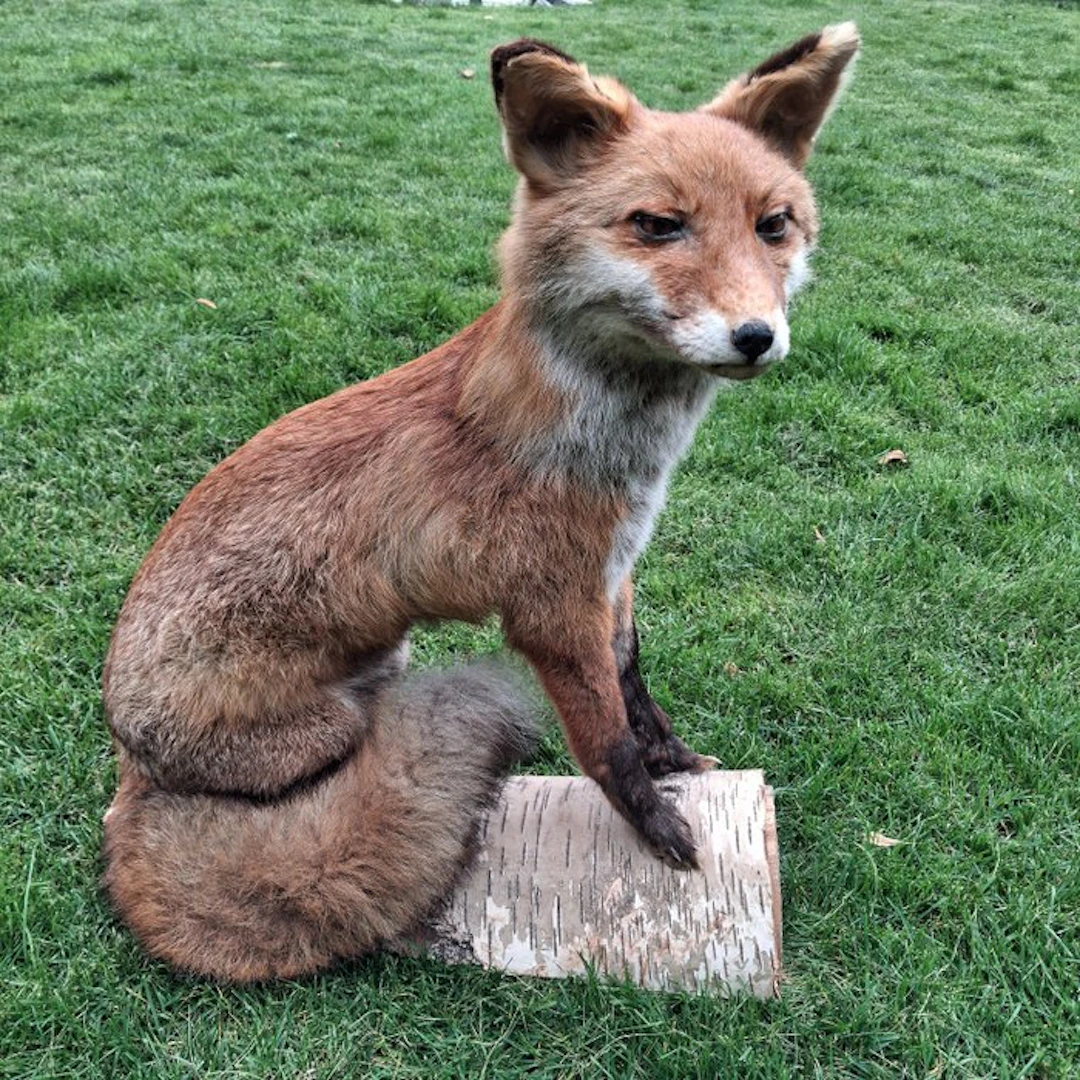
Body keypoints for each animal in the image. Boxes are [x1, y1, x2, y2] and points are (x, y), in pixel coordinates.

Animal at [101, 25, 860, 982]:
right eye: (658, 225)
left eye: (774, 226)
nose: (757, 337)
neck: (621, 452)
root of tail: (128, 757)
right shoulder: (549, 605)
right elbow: (605, 738)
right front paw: (655, 827)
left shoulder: (613, 573)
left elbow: (636, 687)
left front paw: (679, 763)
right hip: (327, 724)